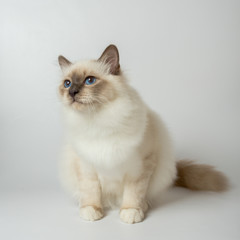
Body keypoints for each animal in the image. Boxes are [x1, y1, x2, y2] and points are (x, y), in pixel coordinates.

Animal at [57, 44, 228, 223]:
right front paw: (91, 210)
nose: (72, 92)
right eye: (67, 83)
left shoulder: (140, 165)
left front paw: (131, 212)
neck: (98, 120)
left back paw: (142, 206)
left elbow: (134, 193)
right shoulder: (86, 165)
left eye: (89, 80)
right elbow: (90, 191)